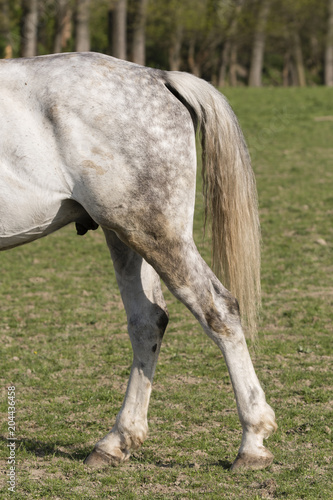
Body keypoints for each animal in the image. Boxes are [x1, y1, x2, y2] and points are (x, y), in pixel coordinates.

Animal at [0, 52, 274, 470]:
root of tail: (159, 78)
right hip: (125, 235)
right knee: (148, 321)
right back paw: (116, 442)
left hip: (156, 235)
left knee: (219, 311)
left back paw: (252, 443)